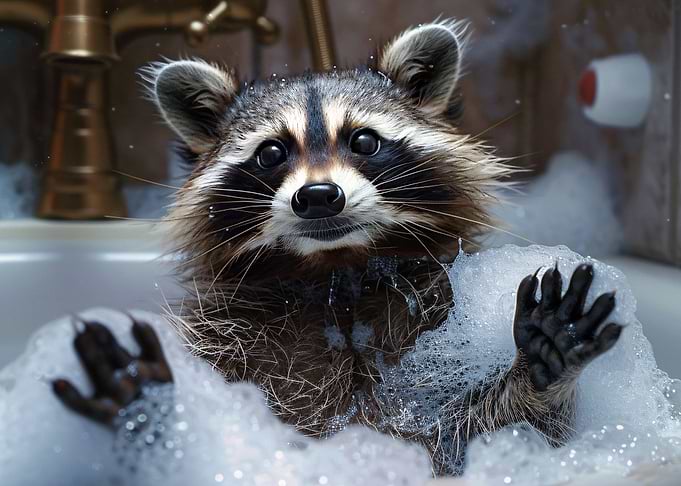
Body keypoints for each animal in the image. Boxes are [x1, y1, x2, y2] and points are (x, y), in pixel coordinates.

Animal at [53, 20, 622, 475]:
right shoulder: (223, 338)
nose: (319, 197)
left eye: (364, 141)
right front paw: (150, 406)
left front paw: (541, 368)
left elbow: (486, 439)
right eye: (271, 152)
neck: (338, 273)